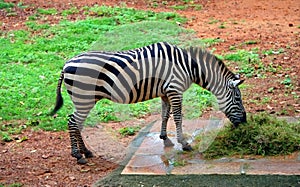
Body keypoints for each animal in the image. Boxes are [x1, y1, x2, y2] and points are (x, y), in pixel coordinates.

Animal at [51, 42, 246, 164]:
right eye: (238, 98)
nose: (244, 122)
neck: (188, 66)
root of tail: (66, 64)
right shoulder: (175, 90)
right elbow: (177, 117)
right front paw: (184, 143)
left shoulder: (166, 92)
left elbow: (165, 114)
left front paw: (165, 138)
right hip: (84, 97)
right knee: (72, 122)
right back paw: (78, 155)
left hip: (84, 99)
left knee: (77, 123)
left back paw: (87, 151)